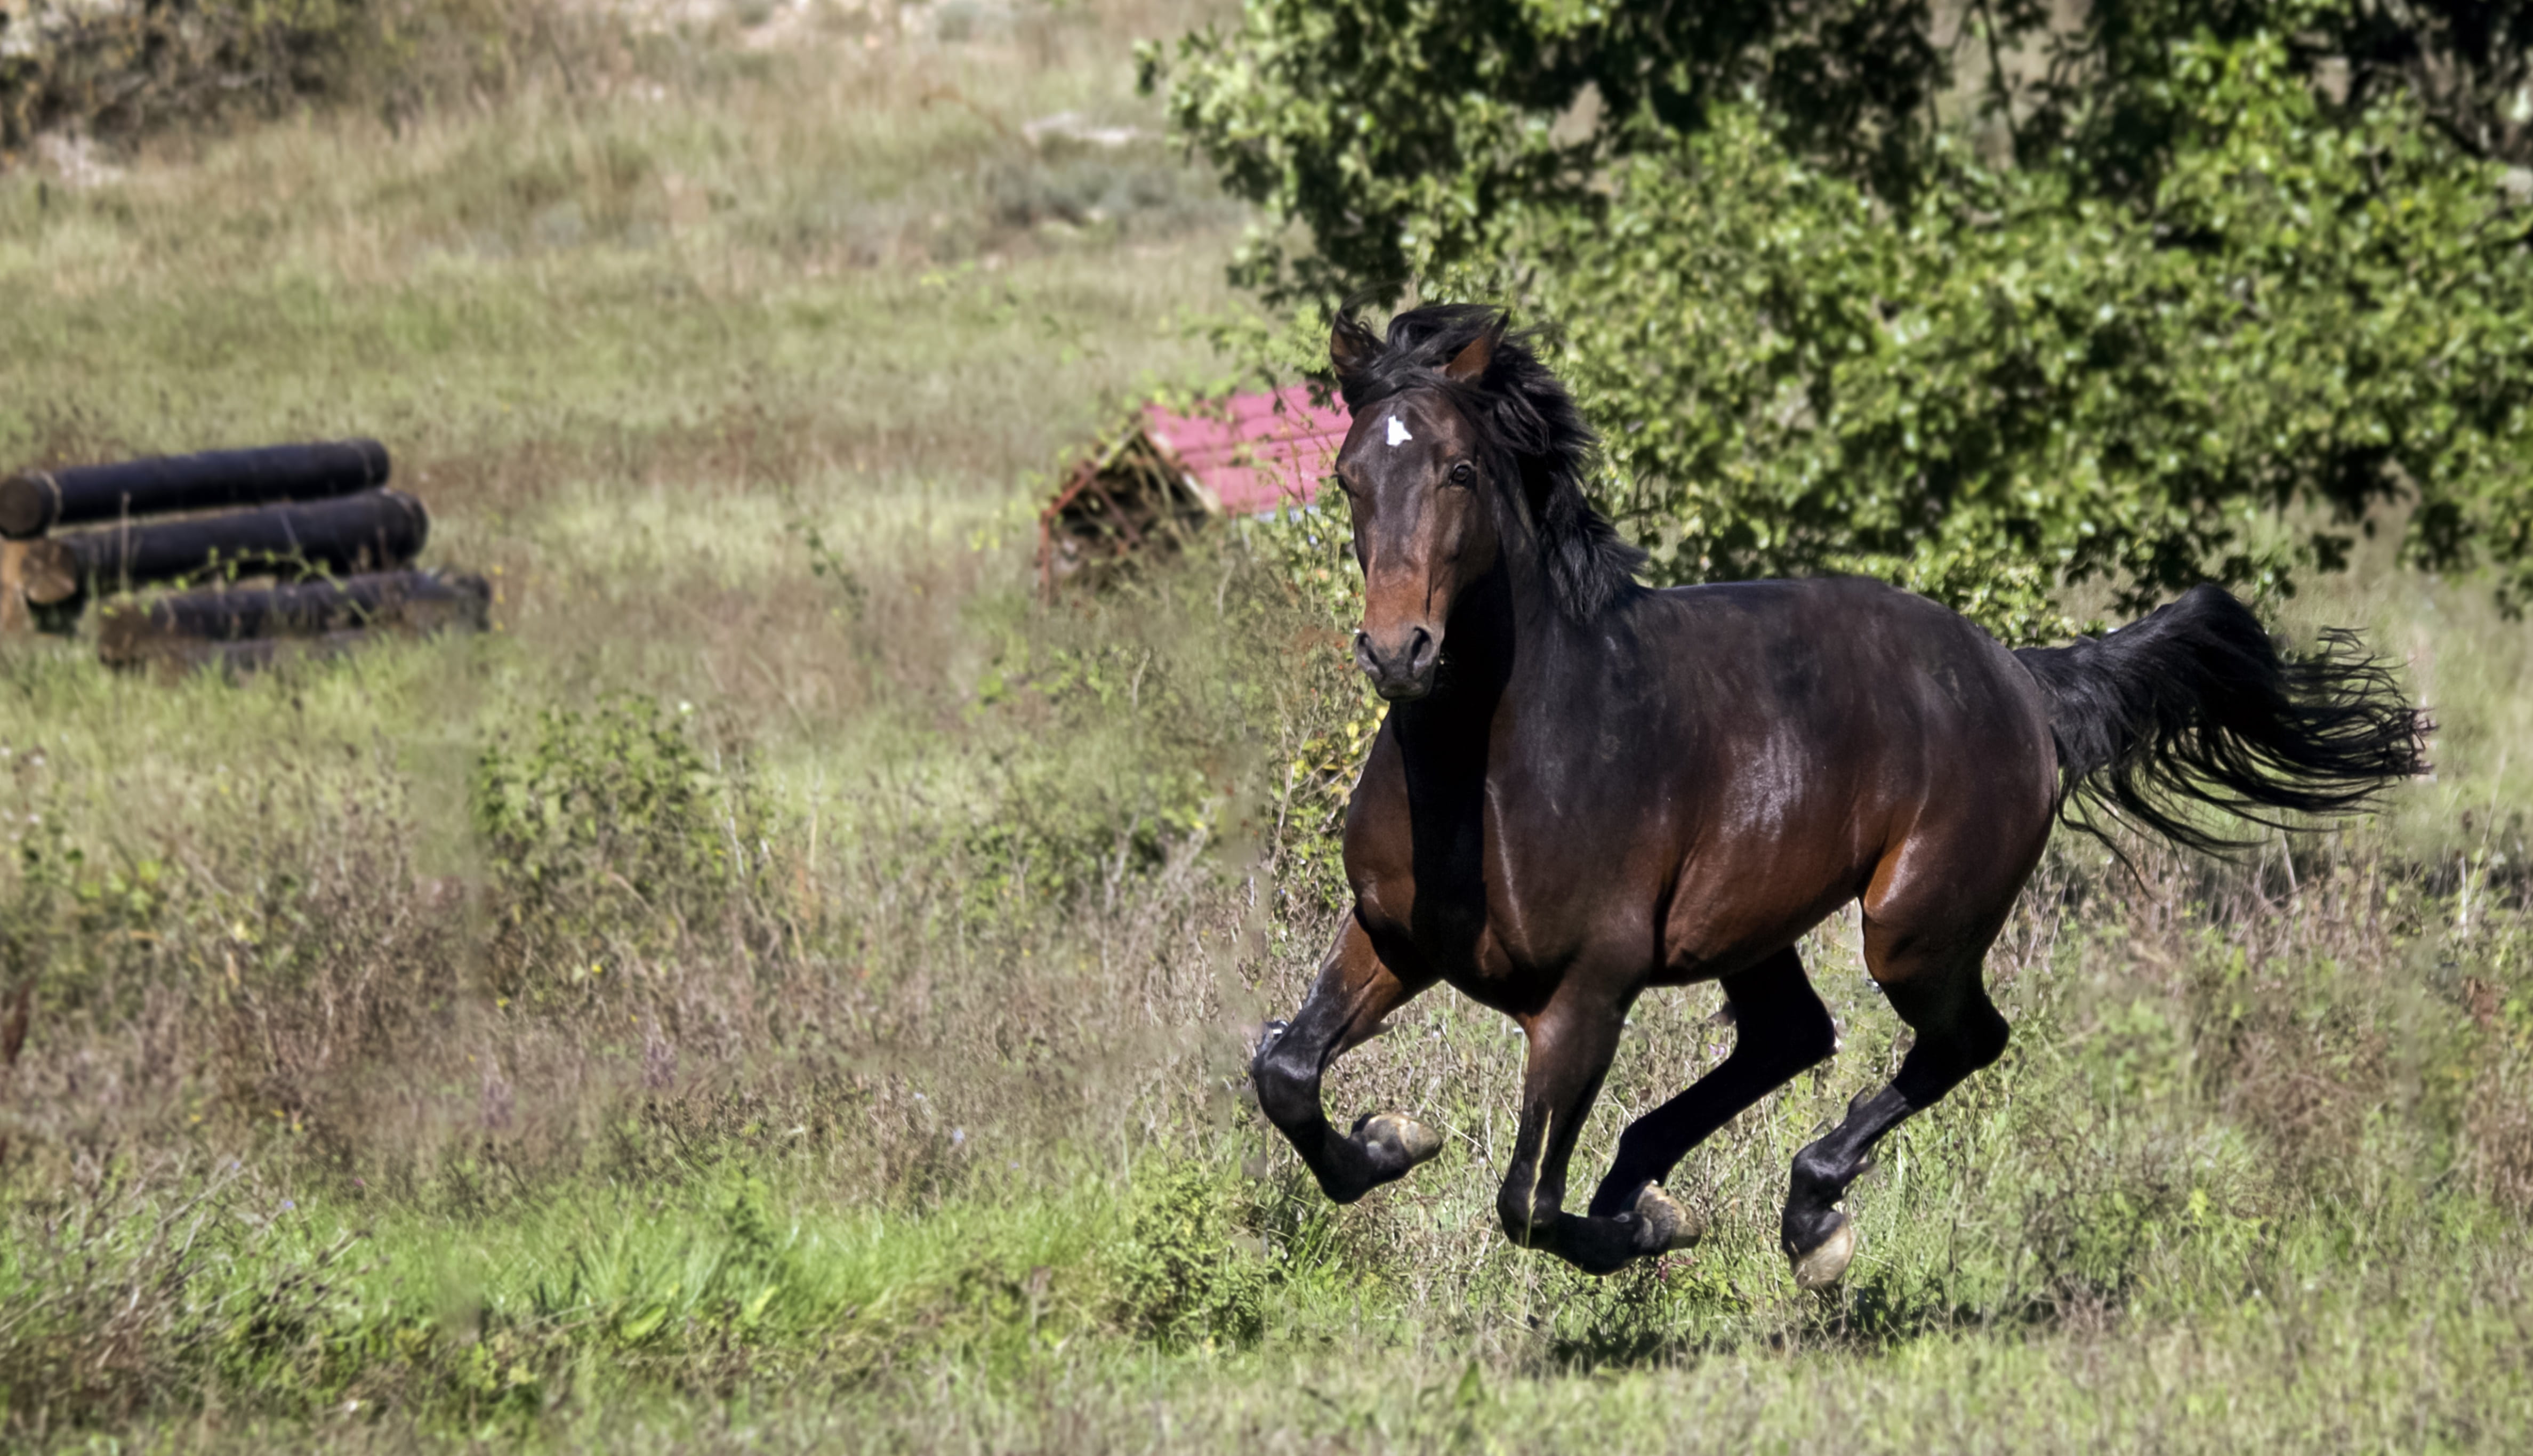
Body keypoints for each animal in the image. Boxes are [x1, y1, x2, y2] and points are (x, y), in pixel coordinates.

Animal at [1250, 304, 2428, 1286]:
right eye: (1348, 477)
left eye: (1457, 472)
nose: (1399, 652)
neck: (1496, 764)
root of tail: (2019, 678)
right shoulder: (1391, 937)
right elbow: (1288, 1072)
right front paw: (1388, 1141)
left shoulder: (1585, 994)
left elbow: (1525, 1204)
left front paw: (1643, 1232)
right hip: (1755, 922)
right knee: (1792, 1037)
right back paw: (1662, 1183)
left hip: (1909, 927)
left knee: (1957, 1042)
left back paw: (1806, 1218)